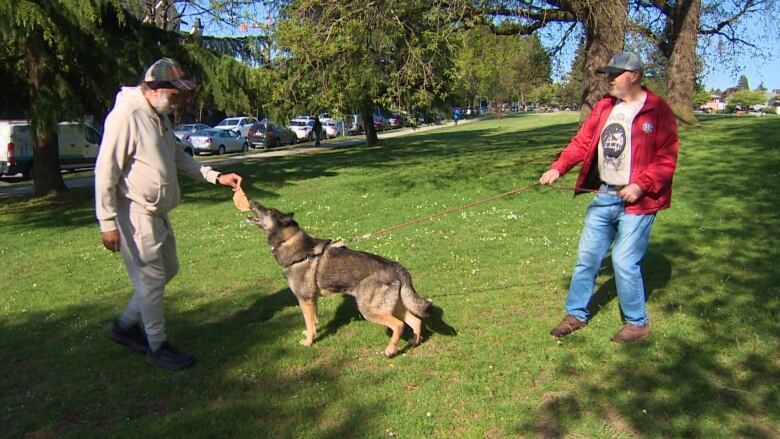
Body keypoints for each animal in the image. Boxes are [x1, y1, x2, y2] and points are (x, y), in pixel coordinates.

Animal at [247, 201, 432, 360]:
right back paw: (415, 342)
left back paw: (390, 350)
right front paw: (310, 333)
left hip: (369, 309)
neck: (290, 242)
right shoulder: (312, 300)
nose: (252, 202)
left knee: (399, 325)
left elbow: (309, 322)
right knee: (415, 320)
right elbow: (313, 321)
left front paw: (308, 342)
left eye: (269, 211)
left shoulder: (304, 300)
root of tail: (397, 267)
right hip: (393, 305)